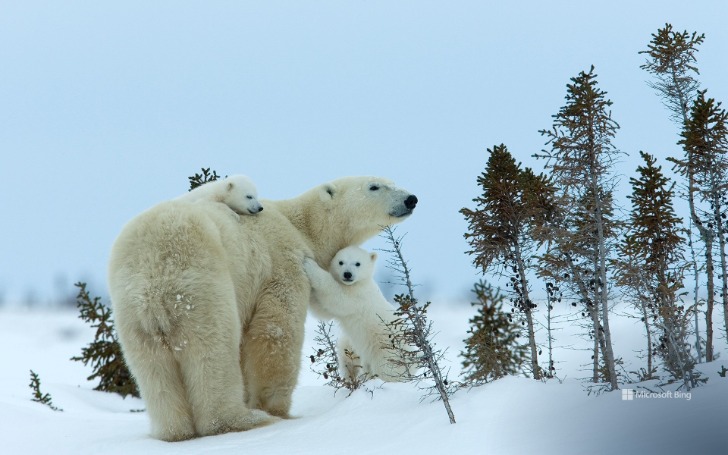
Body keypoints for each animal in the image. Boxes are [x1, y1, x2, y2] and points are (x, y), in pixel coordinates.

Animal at [105, 177, 418, 442]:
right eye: (375, 186)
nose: (411, 198)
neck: (300, 224)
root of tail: (151, 268)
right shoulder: (280, 261)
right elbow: (276, 330)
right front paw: (275, 408)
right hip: (199, 280)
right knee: (213, 348)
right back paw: (244, 419)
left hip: (132, 309)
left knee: (151, 366)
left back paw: (174, 431)